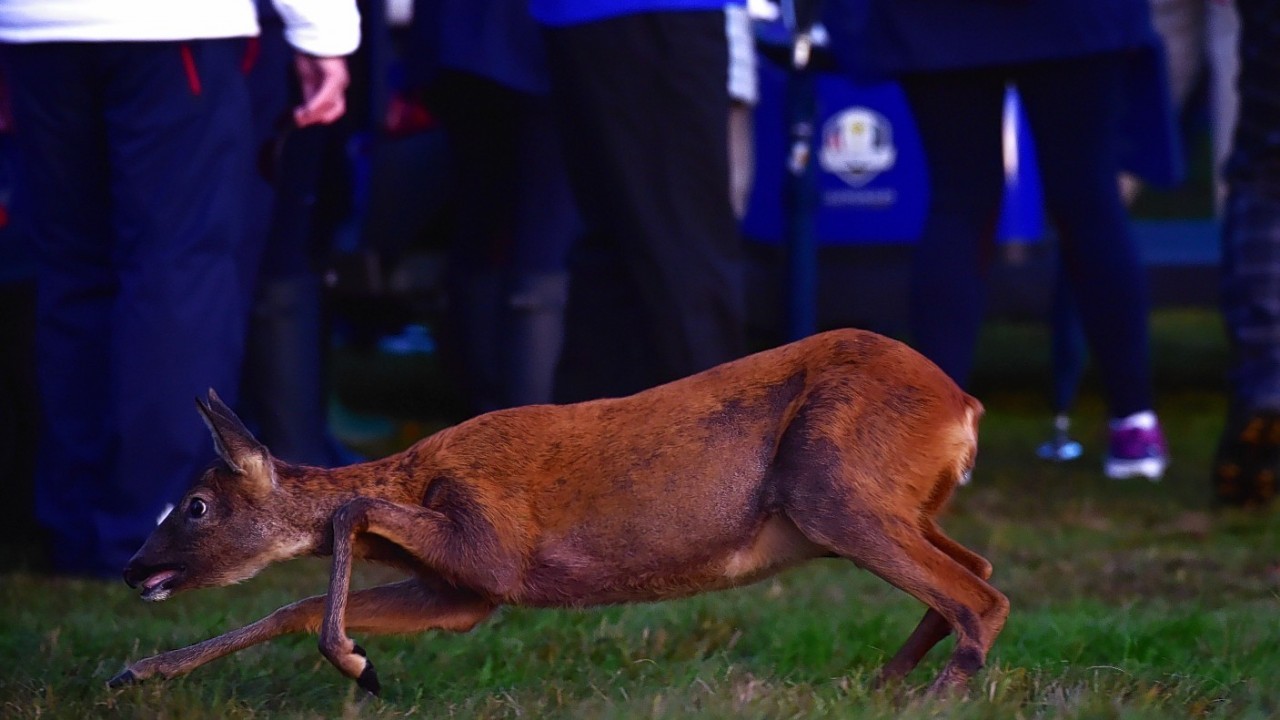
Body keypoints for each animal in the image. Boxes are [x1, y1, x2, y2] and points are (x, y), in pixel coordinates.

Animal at [112, 327, 1008, 691]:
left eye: (194, 506)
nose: (132, 568)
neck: (418, 471)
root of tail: (966, 407)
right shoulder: (466, 594)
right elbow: (294, 601)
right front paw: (137, 672)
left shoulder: (491, 543)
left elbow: (343, 511)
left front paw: (359, 667)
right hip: (889, 503)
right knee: (976, 571)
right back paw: (882, 684)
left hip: (833, 488)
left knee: (982, 596)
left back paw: (929, 695)